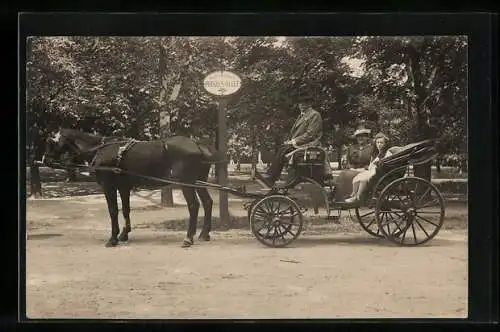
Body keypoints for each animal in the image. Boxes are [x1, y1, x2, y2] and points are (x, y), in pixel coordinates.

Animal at [44, 128, 225, 248]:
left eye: (51, 142)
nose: (45, 160)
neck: (102, 149)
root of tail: (197, 143)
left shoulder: (109, 186)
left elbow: (113, 210)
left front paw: (113, 238)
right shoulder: (124, 186)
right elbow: (125, 209)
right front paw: (124, 234)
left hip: (186, 182)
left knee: (194, 205)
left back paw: (188, 238)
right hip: (198, 181)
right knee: (207, 202)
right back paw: (204, 234)